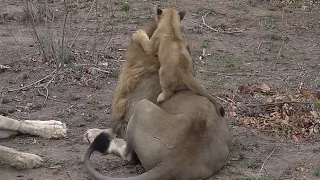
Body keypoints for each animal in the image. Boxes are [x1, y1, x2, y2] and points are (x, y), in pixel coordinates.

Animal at [84, 19, 231, 179]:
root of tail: (175, 160)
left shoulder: (124, 119)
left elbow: (113, 128)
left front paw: (92, 133)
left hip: (142, 107)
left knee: (129, 156)